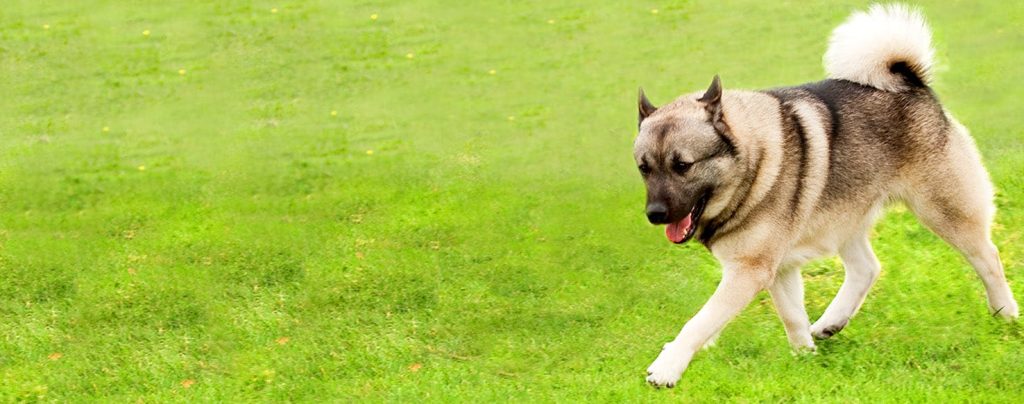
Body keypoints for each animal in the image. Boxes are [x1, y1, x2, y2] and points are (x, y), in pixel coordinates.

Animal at [634, 3, 1019, 388]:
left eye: (683, 165)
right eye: (644, 168)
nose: (655, 214)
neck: (754, 162)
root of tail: (910, 80)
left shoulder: (750, 271)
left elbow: (702, 319)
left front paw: (668, 367)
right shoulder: (780, 268)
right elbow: (791, 316)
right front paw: (805, 357)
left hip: (944, 209)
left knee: (988, 256)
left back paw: (1006, 312)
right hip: (845, 217)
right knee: (867, 269)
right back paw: (830, 323)